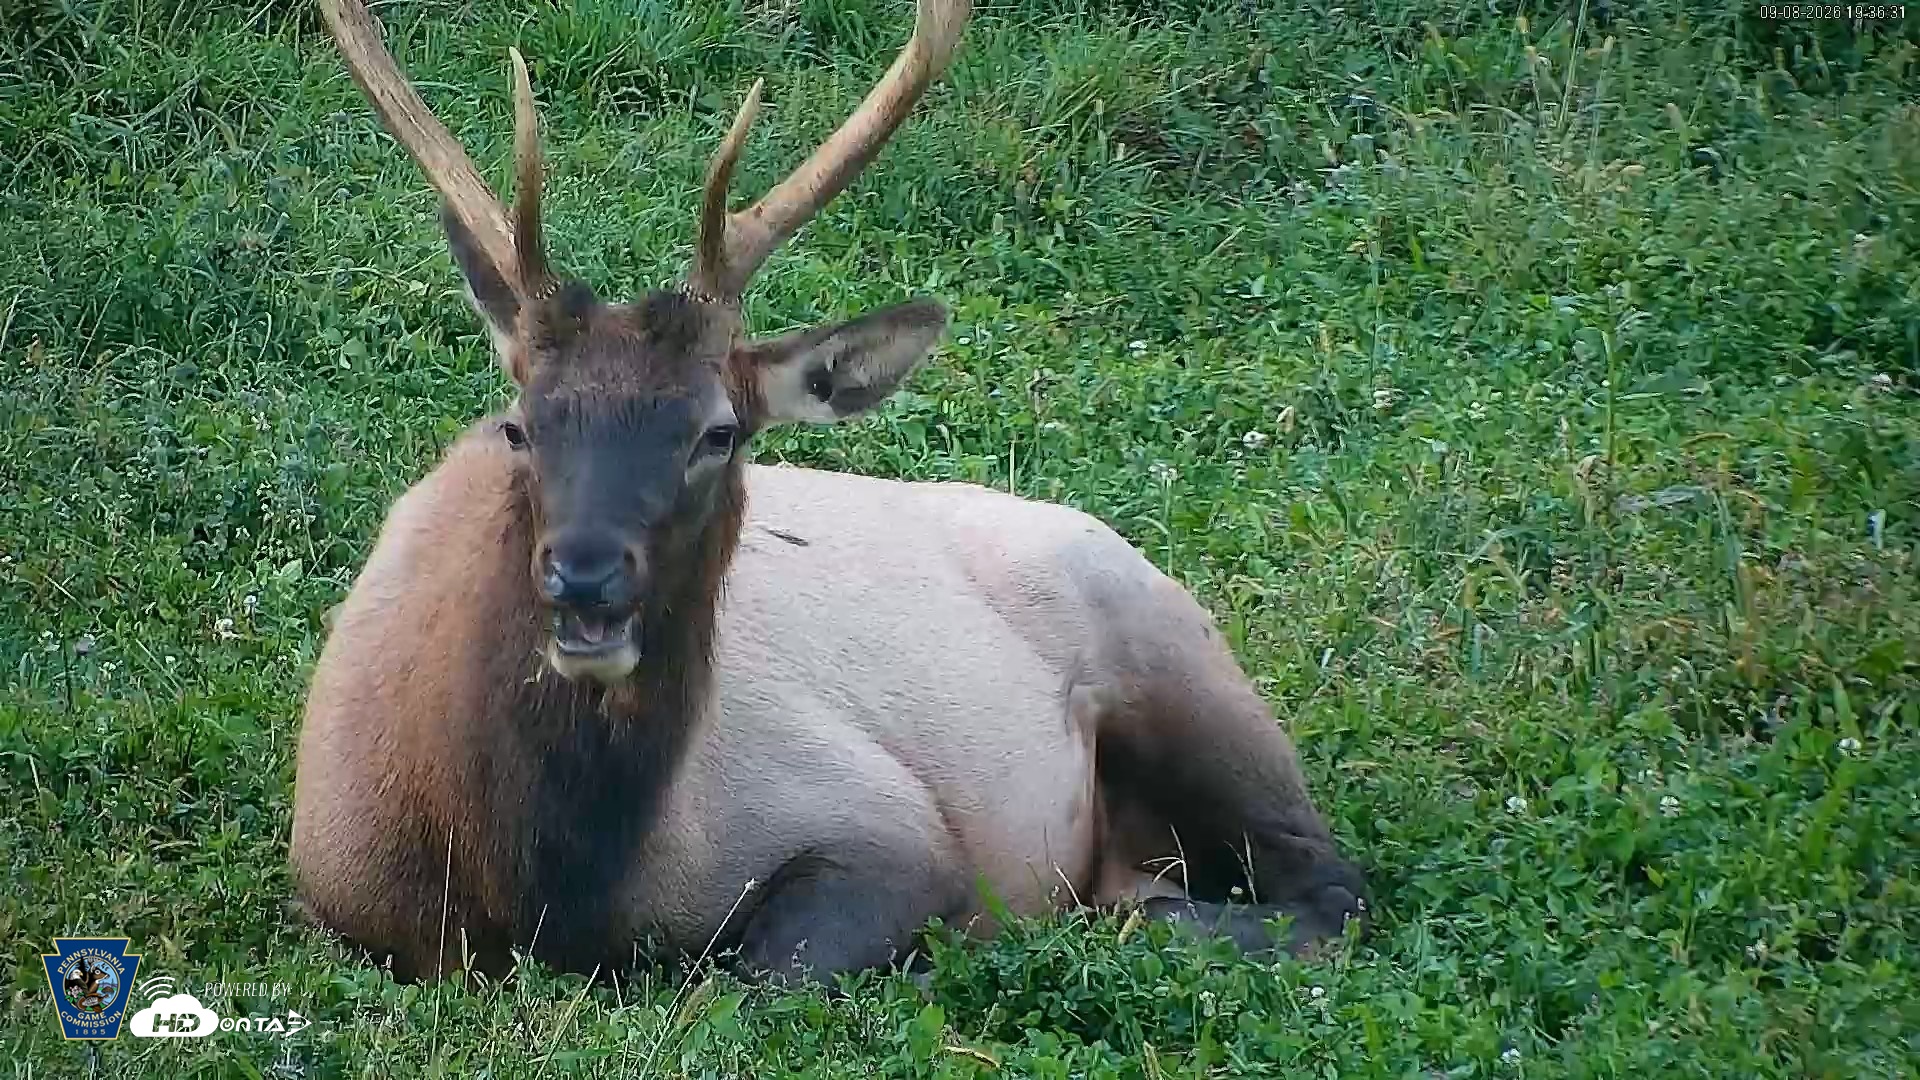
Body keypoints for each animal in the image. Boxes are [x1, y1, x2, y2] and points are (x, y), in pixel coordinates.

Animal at [290, 0, 1370, 986]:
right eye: (520, 423)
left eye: (718, 433)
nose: (585, 577)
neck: (531, 878)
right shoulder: (341, 890)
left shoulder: (887, 828)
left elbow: (760, 972)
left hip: (1186, 675)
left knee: (1329, 889)